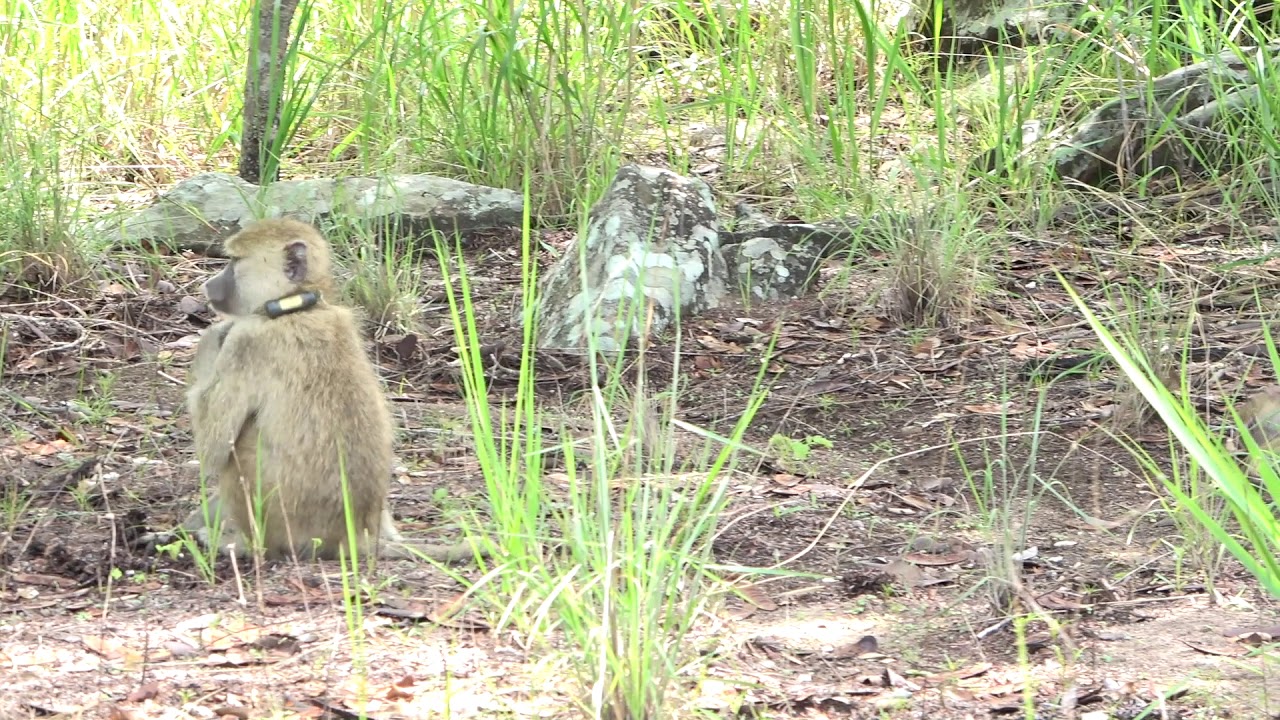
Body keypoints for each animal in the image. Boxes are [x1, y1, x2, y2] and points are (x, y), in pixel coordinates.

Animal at [147, 218, 482, 564]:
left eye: (234, 262)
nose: (209, 285)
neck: (298, 306)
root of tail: (353, 535)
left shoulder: (247, 342)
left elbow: (213, 448)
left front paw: (212, 334)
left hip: (284, 526)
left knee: (239, 451)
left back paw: (239, 545)